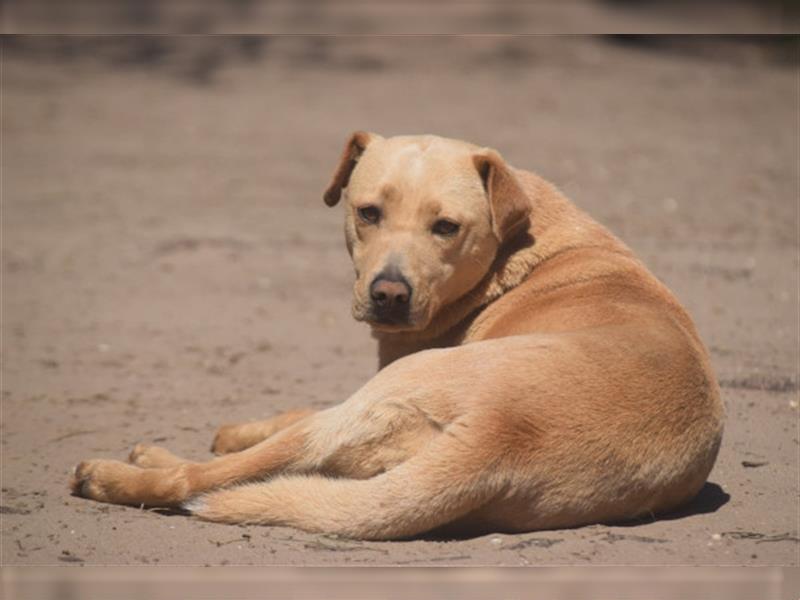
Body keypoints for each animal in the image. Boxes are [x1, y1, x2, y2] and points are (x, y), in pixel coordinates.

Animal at [70, 131, 724, 540]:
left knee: (208, 477)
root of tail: (498, 439)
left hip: (396, 387)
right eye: (367, 212)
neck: (514, 249)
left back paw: (125, 471)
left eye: (446, 227)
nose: (388, 294)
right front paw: (236, 429)